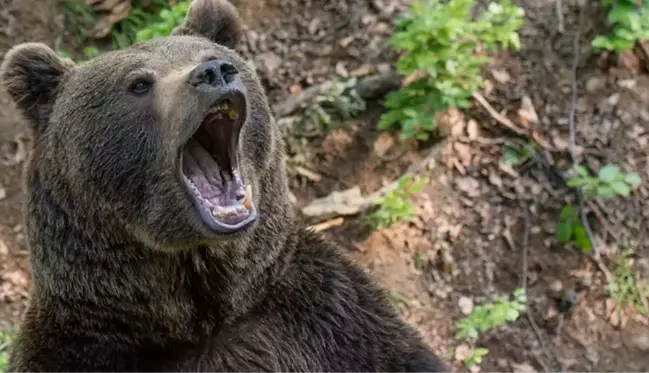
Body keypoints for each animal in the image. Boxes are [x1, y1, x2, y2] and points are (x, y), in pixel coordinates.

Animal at [1, 0, 446, 370]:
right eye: (139, 83)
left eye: (212, 56)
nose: (214, 72)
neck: (204, 317)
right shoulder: (77, 351)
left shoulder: (334, 320)